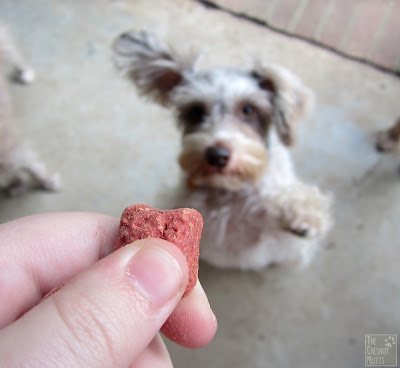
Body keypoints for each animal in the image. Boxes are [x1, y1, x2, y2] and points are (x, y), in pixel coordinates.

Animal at [0, 21, 59, 196]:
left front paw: (48, 182)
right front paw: (15, 184)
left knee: (15, 56)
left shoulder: (18, 152)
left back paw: (25, 73)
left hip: (4, 43)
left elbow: (34, 169)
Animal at [111, 31, 332, 270]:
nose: (217, 155)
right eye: (196, 110)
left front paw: (302, 212)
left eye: (248, 109)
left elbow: (280, 198)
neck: (227, 194)